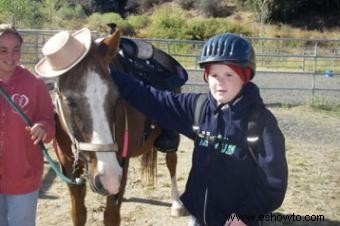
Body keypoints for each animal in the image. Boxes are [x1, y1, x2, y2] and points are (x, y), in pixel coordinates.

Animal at [51, 30, 186, 226]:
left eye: (116, 97)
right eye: (69, 100)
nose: (108, 177)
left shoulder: (122, 163)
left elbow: (111, 216)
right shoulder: (68, 168)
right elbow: (78, 214)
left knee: (171, 162)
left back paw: (177, 203)